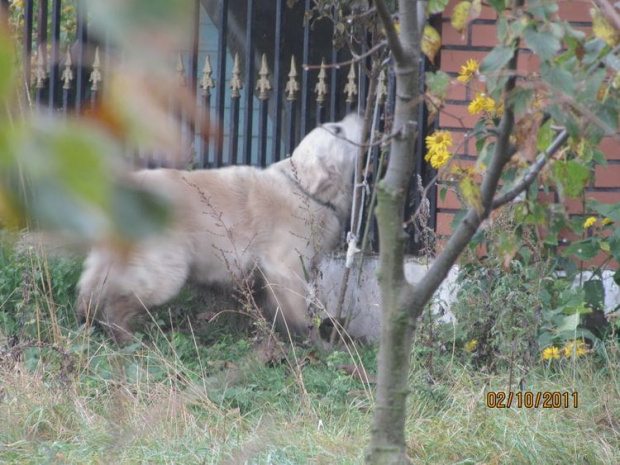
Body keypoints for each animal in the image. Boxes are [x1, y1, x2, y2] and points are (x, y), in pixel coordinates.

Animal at [77, 115, 364, 340]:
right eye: (338, 129)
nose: (360, 113)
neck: (304, 186)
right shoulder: (285, 266)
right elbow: (297, 310)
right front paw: (313, 342)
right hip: (165, 271)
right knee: (118, 303)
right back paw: (126, 338)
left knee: (90, 292)